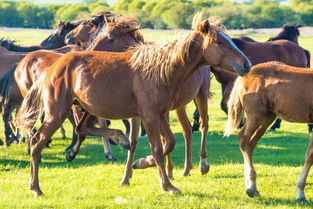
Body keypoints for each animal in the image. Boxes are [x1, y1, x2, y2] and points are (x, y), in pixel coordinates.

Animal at [13, 13, 250, 196]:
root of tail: (51, 68)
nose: (246, 63)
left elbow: (168, 143)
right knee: (38, 141)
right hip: (58, 112)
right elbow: (157, 149)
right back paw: (36, 188)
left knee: (81, 129)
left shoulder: (159, 114)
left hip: (84, 108)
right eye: (219, 42)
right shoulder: (150, 116)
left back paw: (120, 139)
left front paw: (142, 164)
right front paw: (167, 185)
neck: (160, 69)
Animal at [223, 61, 312, 202]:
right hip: (256, 115)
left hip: (267, 117)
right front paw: (300, 193)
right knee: (243, 139)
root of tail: (246, 74)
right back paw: (252, 187)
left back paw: (250, 185)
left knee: (250, 144)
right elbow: (310, 155)